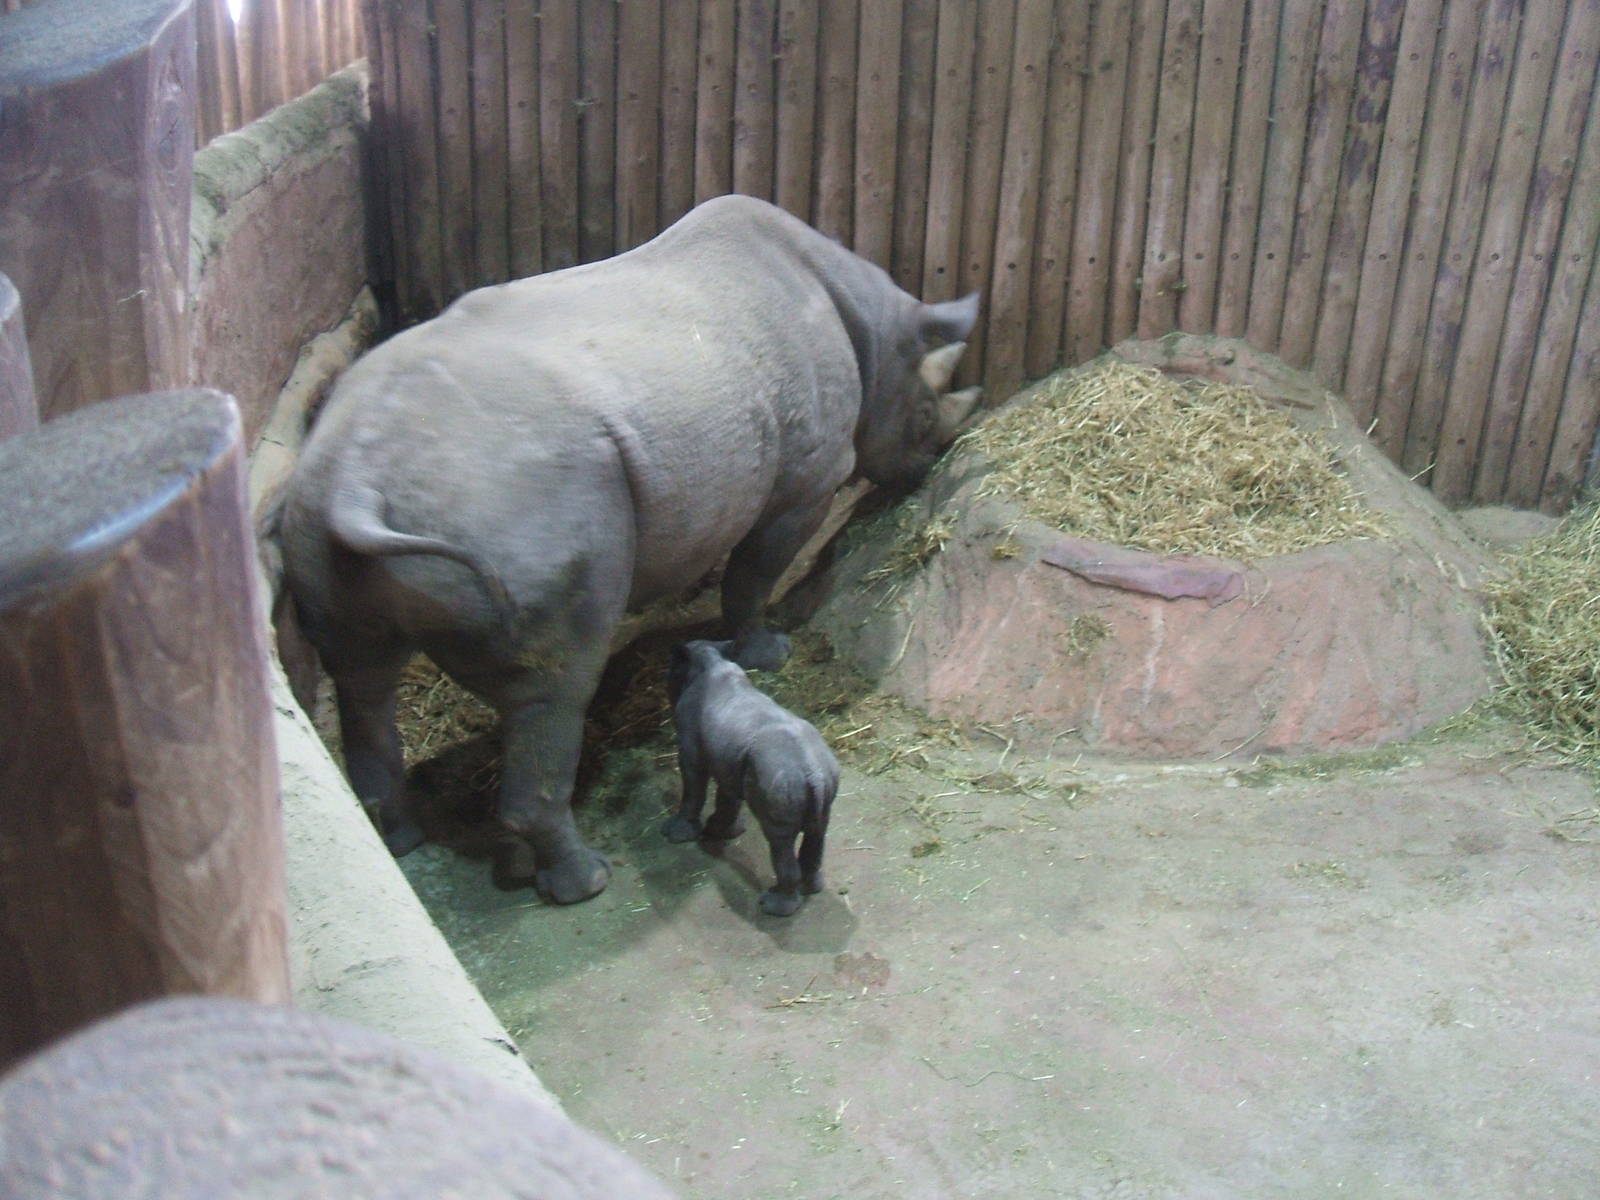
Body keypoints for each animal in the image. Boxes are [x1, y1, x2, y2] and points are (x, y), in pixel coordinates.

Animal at [279, 194, 979, 905]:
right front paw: (766, 654)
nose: (926, 464)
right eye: (926, 413)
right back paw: (586, 881)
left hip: (314, 518)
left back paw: (399, 839)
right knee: (552, 692)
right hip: (523, 509)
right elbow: (754, 575)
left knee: (362, 680)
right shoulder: (807, 481)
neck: (873, 327)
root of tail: (356, 483)